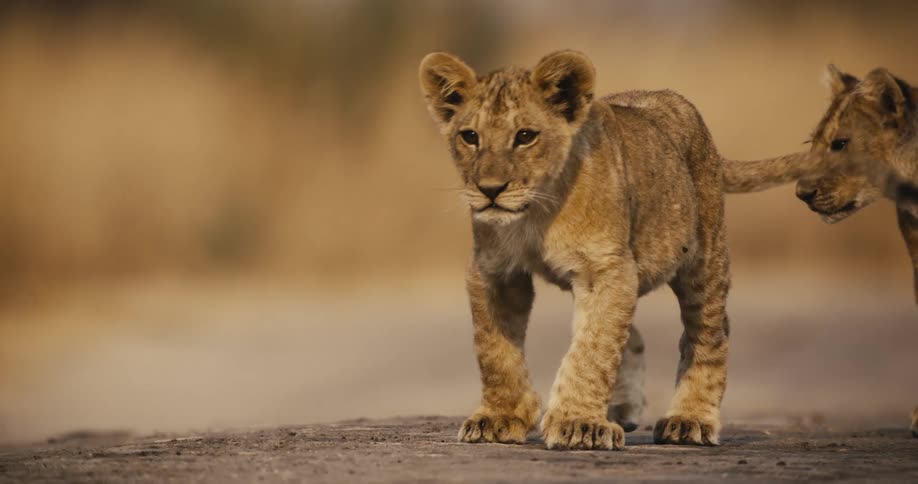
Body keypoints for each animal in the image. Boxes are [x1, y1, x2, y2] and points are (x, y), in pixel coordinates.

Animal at [418, 50, 815, 450]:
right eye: (470, 137)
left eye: (525, 136)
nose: (490, 190)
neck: (536, 214)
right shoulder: (494, 270)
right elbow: (496, 350)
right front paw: (499, 417)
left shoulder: (606, 270)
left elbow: (592, 350)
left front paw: (579, 423)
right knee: (629, 333)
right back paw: (623, 408)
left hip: (704, 260)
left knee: (709, 333)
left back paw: (689, 419)